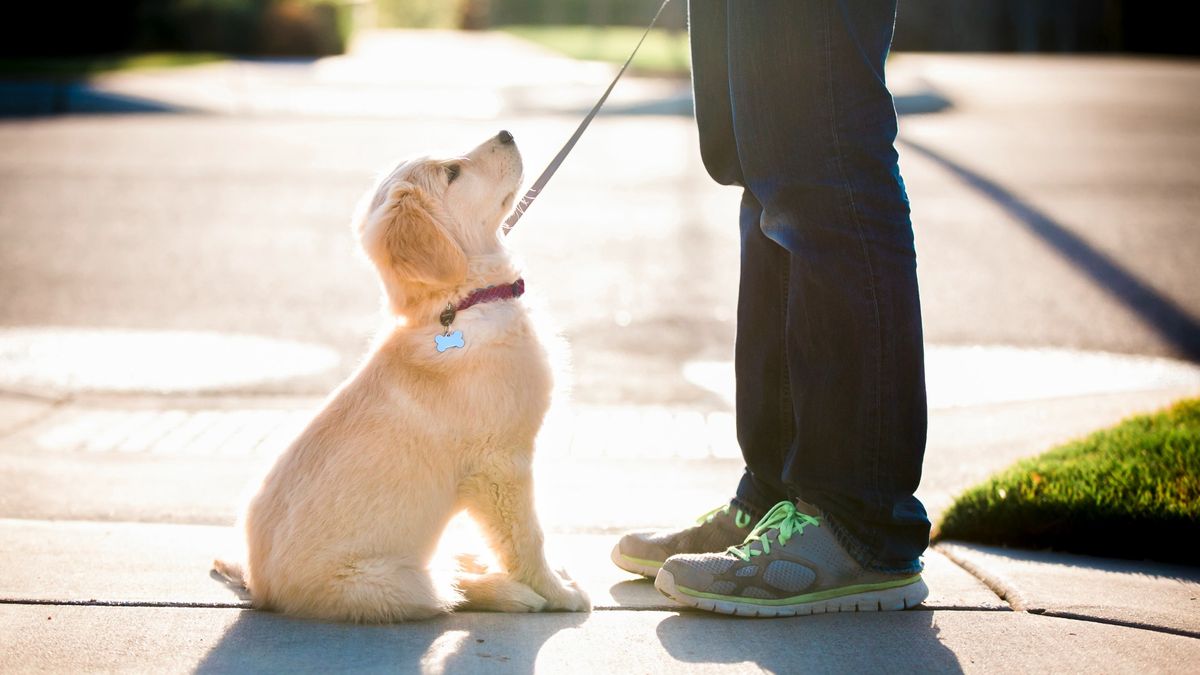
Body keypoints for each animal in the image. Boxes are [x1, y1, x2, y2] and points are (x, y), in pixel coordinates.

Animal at [218, 130, 592, 619]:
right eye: (452, 172)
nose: (507, 133)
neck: (461, 302)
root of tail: (258, 586)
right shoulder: (500, 463)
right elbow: (526, 538)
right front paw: (557, 591)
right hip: (388, 583)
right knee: (447, 590)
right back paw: (509, 591)